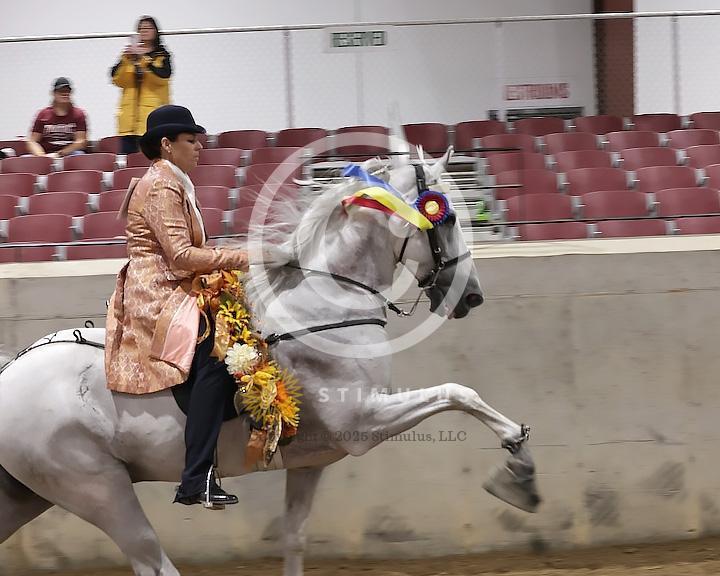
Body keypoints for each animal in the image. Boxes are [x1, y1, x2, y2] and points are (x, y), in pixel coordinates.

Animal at [0, 147, 539, 576]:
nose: (471, 297)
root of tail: (10, 371)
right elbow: (458, 392)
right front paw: (519, 465)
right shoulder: (363, 421)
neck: (328, 301)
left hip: (25, 495)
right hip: (99, 489)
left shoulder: (312, 461)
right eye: (449, 219)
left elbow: (294, 537)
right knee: (151, 560)